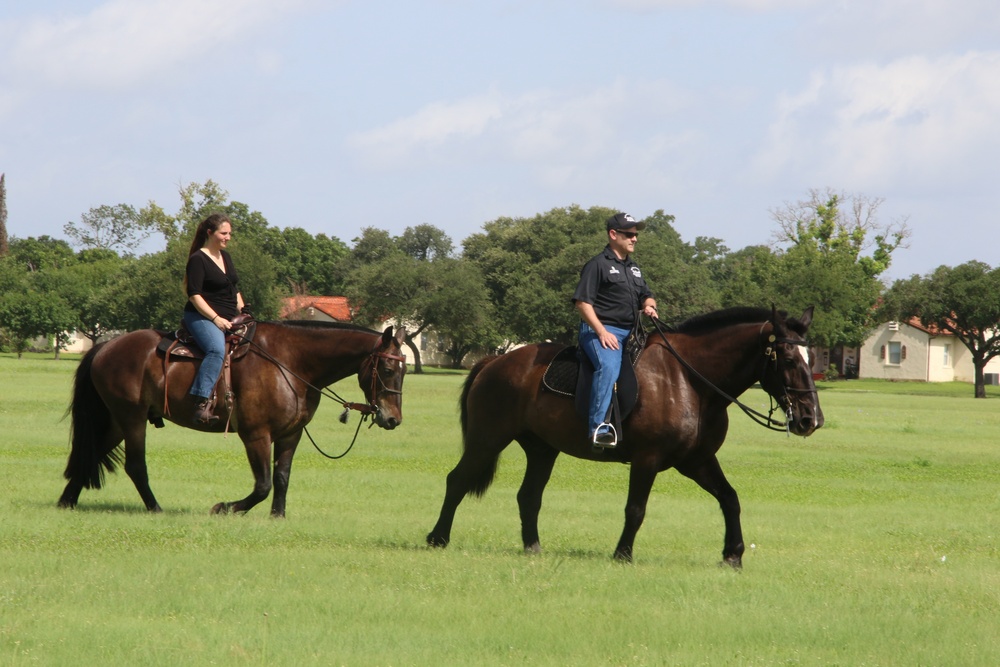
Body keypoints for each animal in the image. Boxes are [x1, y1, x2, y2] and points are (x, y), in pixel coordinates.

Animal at [58, 322, 406, 516]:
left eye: (403, 370)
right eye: (388, 369)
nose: (393, 419)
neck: (290, 362)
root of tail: (107, 346)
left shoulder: (290, 434)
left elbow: (281, 478)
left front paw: (277, 516)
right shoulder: (255, 434)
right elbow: (263, 484)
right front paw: (223, 508)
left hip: (118, 421)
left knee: (92, 454)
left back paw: (67, 501)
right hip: (132, 419)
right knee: (135, 466)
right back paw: (155, 508)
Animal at [426, 306, 824, 564]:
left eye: (812, 359)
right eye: (789, 360)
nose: (811, 419)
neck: (690, 380)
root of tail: (494, 361)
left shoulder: (697, 461)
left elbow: (730, 499)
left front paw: (733, 554)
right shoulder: (647, 459)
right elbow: (636, 509)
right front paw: (622, 554)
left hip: (542, 450)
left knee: (528, 496)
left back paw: (533, 547)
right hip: (487, 439)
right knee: (457, 481)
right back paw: (437, 538)